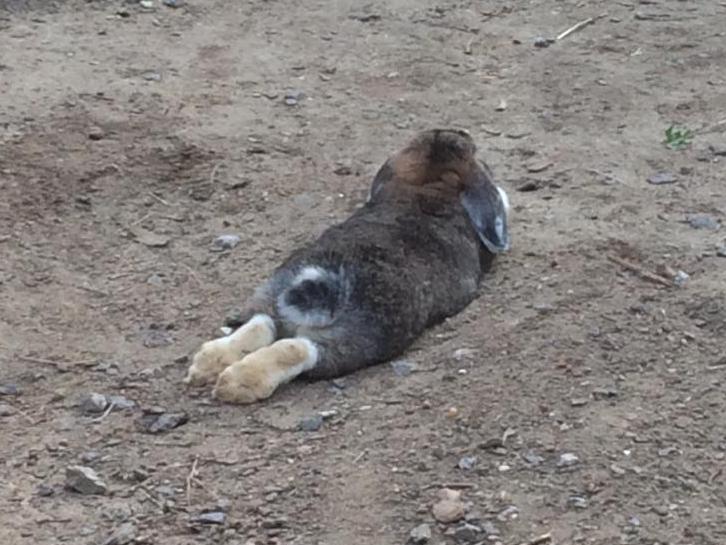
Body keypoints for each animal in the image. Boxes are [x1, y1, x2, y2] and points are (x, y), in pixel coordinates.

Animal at [184, 129, 511, 404]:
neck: (427, 190)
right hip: (365, 335)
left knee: (261, 321)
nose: (464, 133)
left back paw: (208, 365)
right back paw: (237, 385)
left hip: (278, 285)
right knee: (300, 348)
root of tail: (328, 283)